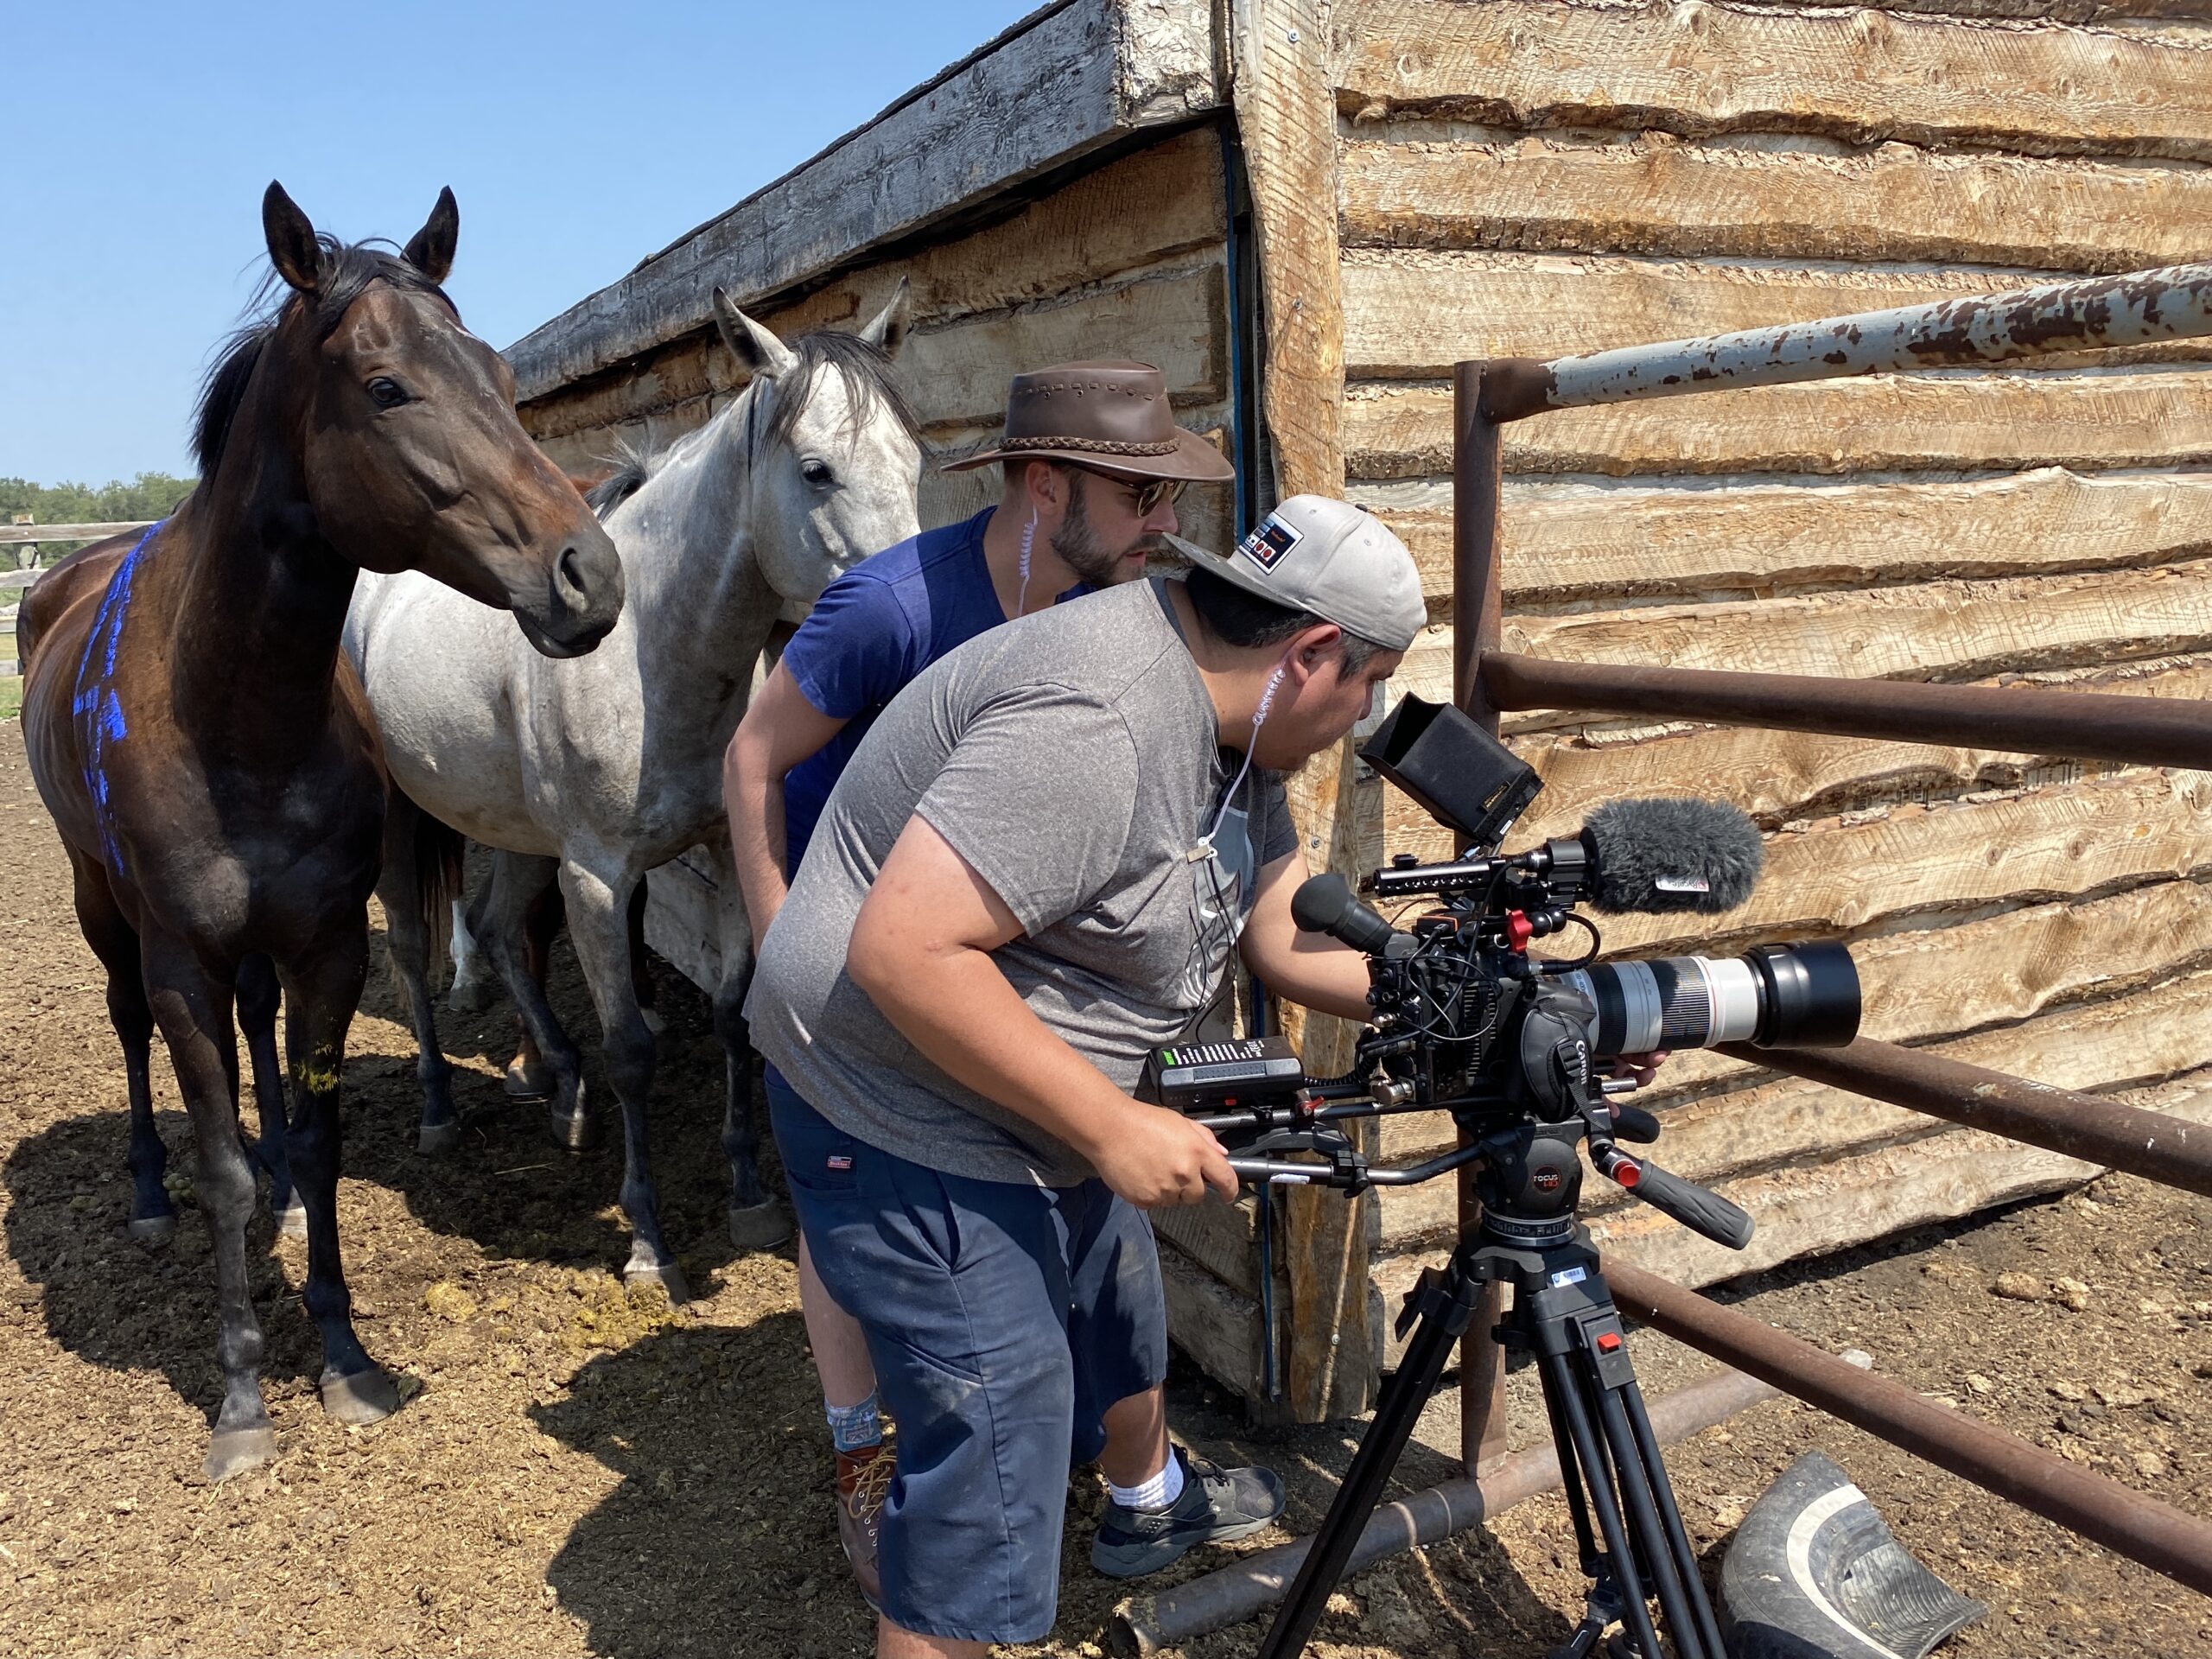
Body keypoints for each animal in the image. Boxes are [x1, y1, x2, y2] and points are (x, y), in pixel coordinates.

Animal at [19, 181, 623, 1478]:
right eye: (387, 387)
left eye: (502, 372)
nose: (589, 574)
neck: (232, 716)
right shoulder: (182, 964)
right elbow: (220, 1171)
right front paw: (245, 1399)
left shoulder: (330, 946)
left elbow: (320, 1138)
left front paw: (344, 1355)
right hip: (104, 911)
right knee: (131, 1035)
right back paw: (148, 1196)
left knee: (262, 1058)